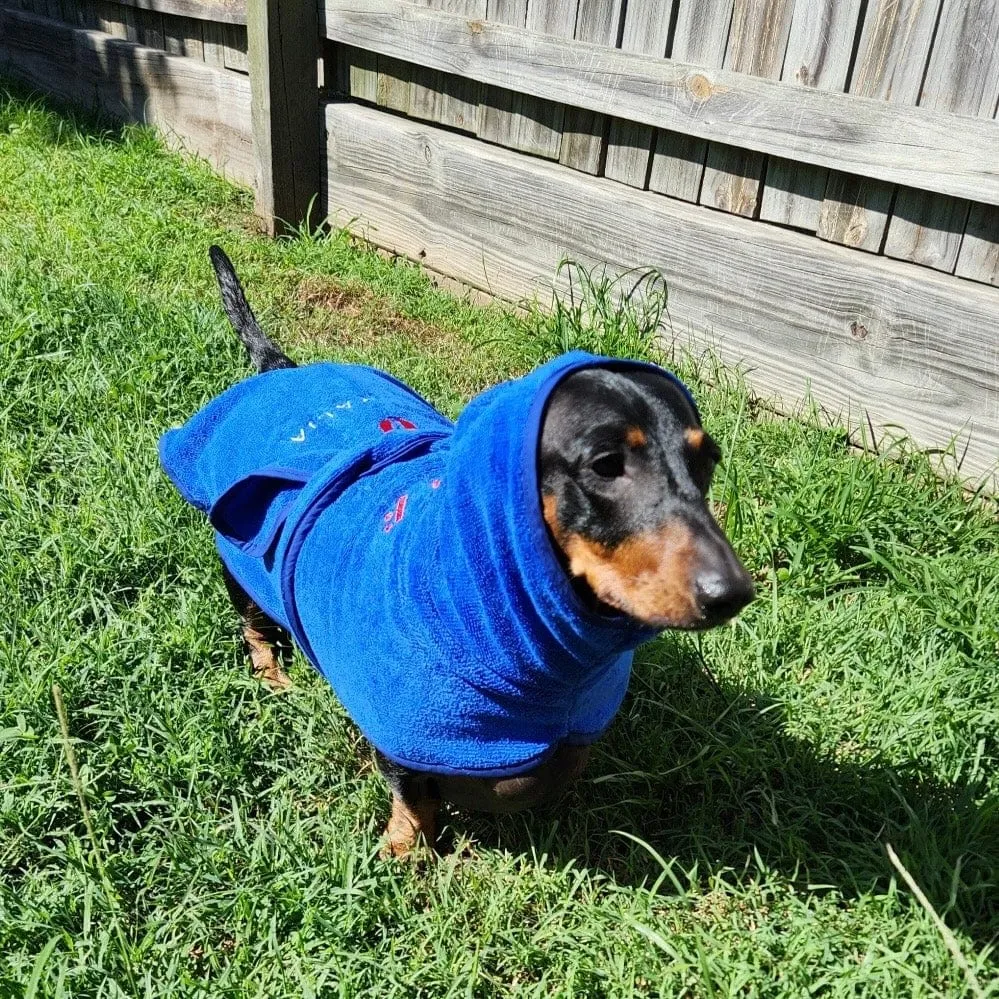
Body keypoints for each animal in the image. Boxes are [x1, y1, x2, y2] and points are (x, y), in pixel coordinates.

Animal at [160, 246, 752, 856]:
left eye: (708, 460)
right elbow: (415, 801)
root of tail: (278, 368)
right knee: (254, 629)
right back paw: (273, 679)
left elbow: (561, 766)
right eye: (606, 463)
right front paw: (404, 852)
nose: (732, 594)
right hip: (241, 574)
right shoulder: (402, 738)